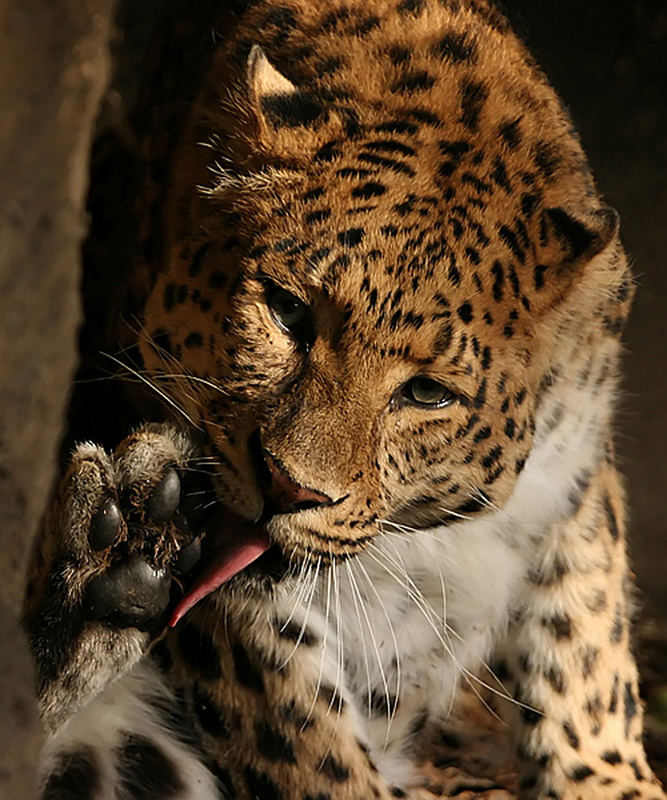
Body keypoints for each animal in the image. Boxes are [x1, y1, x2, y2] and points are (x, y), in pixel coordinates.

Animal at [22, 1, 667, 800]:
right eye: (288, 312)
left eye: (427, 393)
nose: (286, 487)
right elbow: (309, 744)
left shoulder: (577, 479)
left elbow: (587, 656)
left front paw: (608, 773)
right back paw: (117, 546)